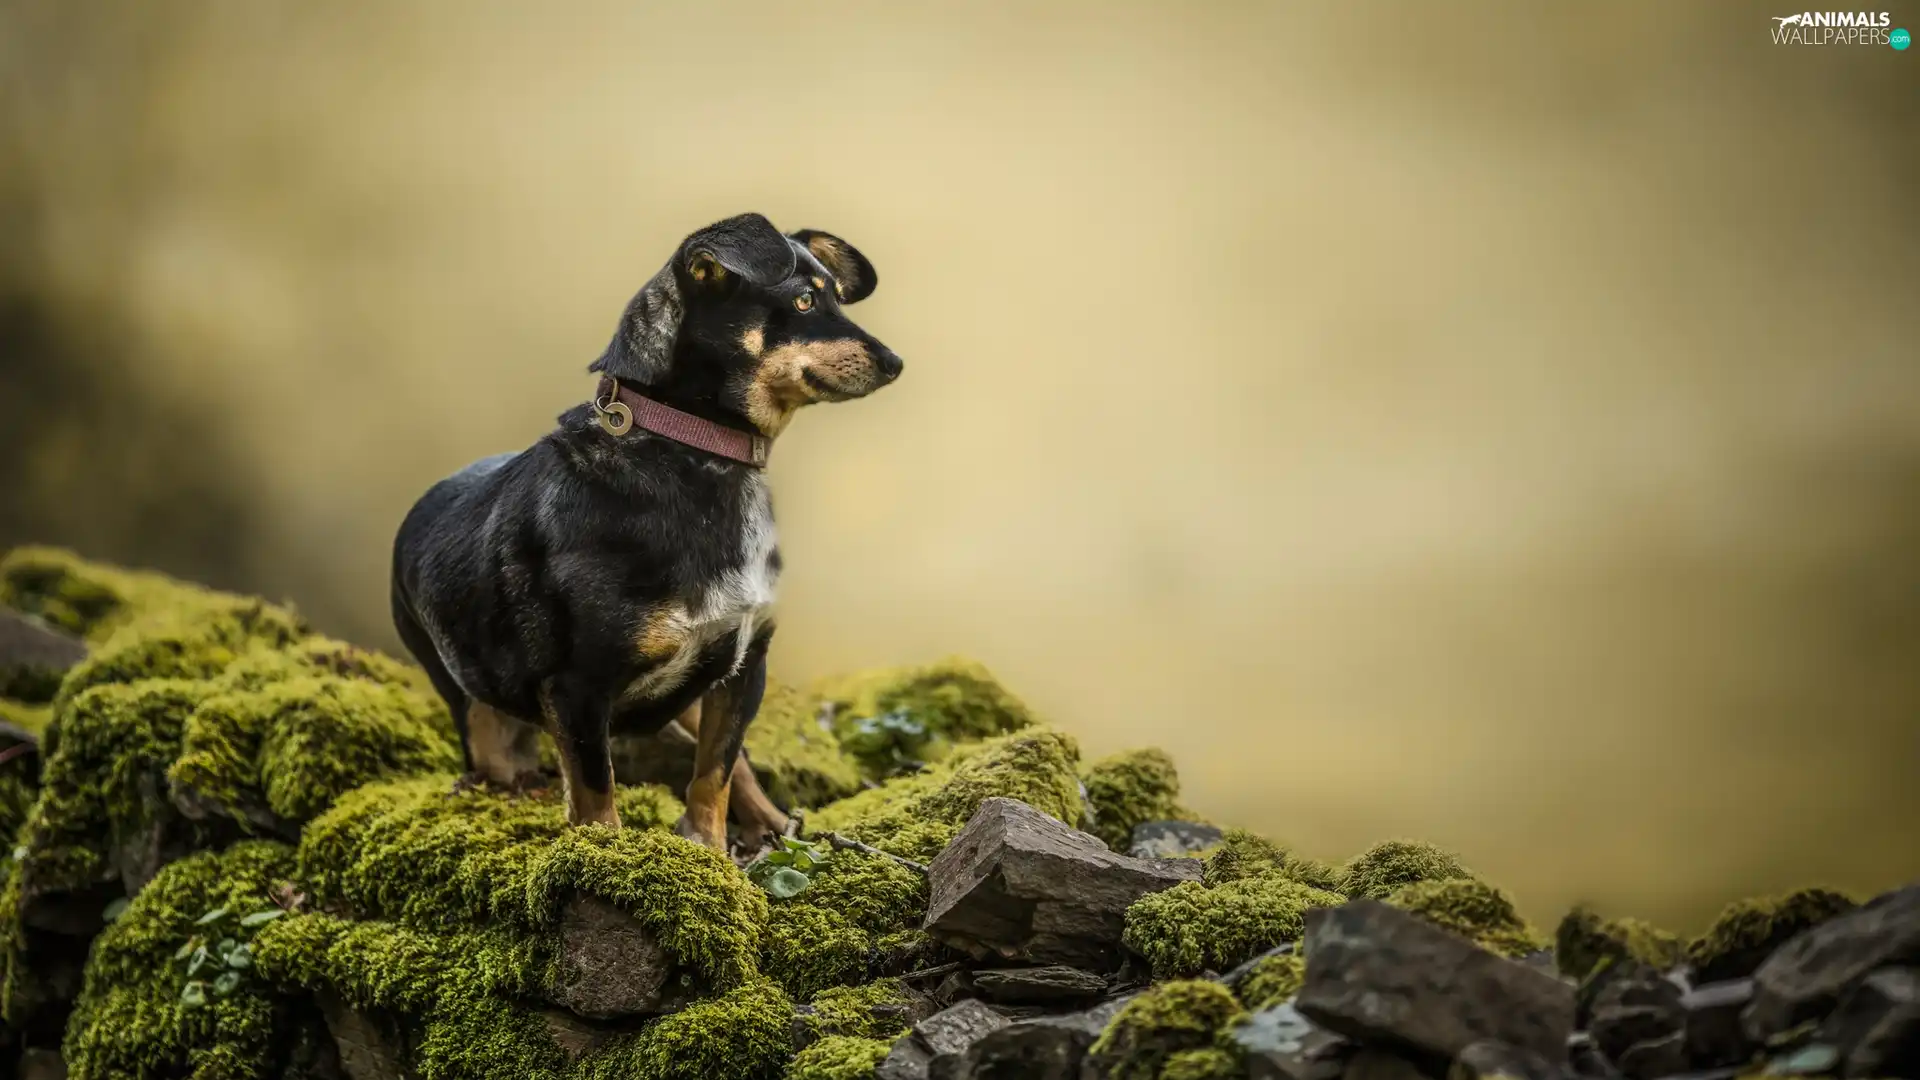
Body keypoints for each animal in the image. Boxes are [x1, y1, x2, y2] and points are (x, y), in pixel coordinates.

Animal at [389, 212, 906, 849]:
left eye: (835, 294)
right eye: (804, 300)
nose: (895, 362)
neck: (693, 450)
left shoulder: (744, 666)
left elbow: (716, 772)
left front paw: (708, 850)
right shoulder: (577, 688)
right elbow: (595, 792)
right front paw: (606, 856)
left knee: (734, 763)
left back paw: (773, 823)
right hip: (481, 715)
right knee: (495, 763)